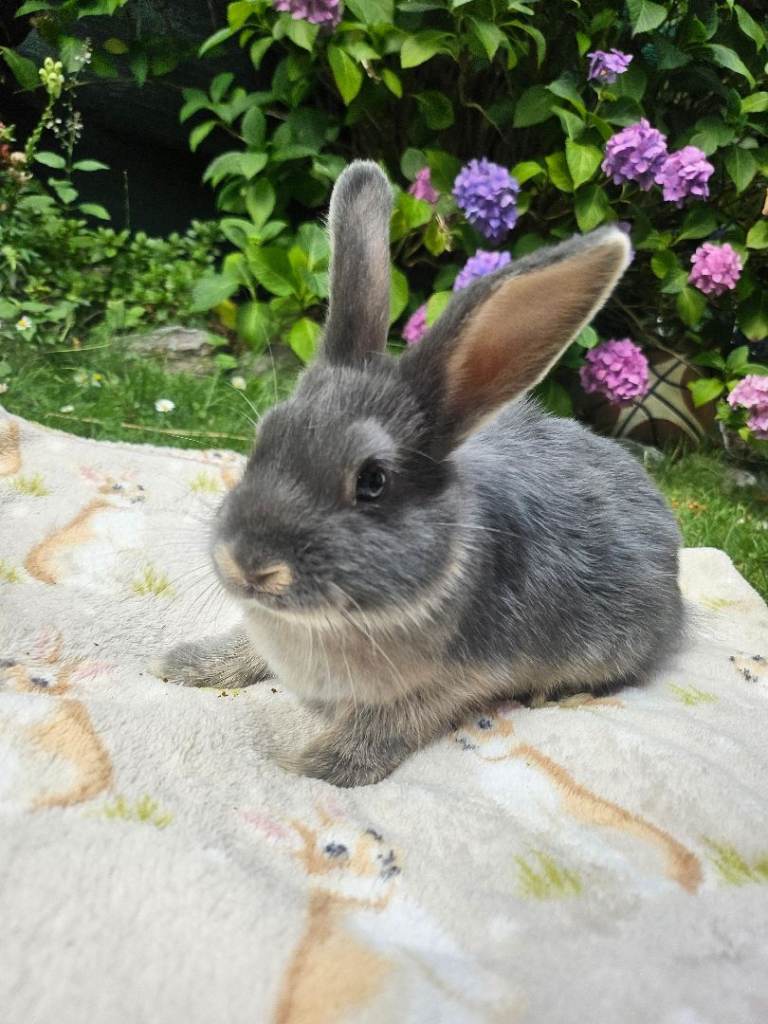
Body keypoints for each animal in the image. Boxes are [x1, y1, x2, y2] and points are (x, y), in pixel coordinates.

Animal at [155, 160, 683, 787]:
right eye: (264, 440)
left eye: (373, 481)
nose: (248, 565)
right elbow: (245, 648)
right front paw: (186, 664)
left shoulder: (456, 681)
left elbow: (386, 724)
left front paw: (318, 767)